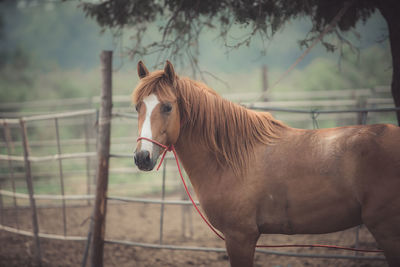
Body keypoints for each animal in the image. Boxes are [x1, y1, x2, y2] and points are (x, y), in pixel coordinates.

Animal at [133, 60, 400, 267]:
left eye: (167, 107)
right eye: (138, 107)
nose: (142, 157)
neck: (231, 158)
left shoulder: (240, 237)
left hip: (387, 231)